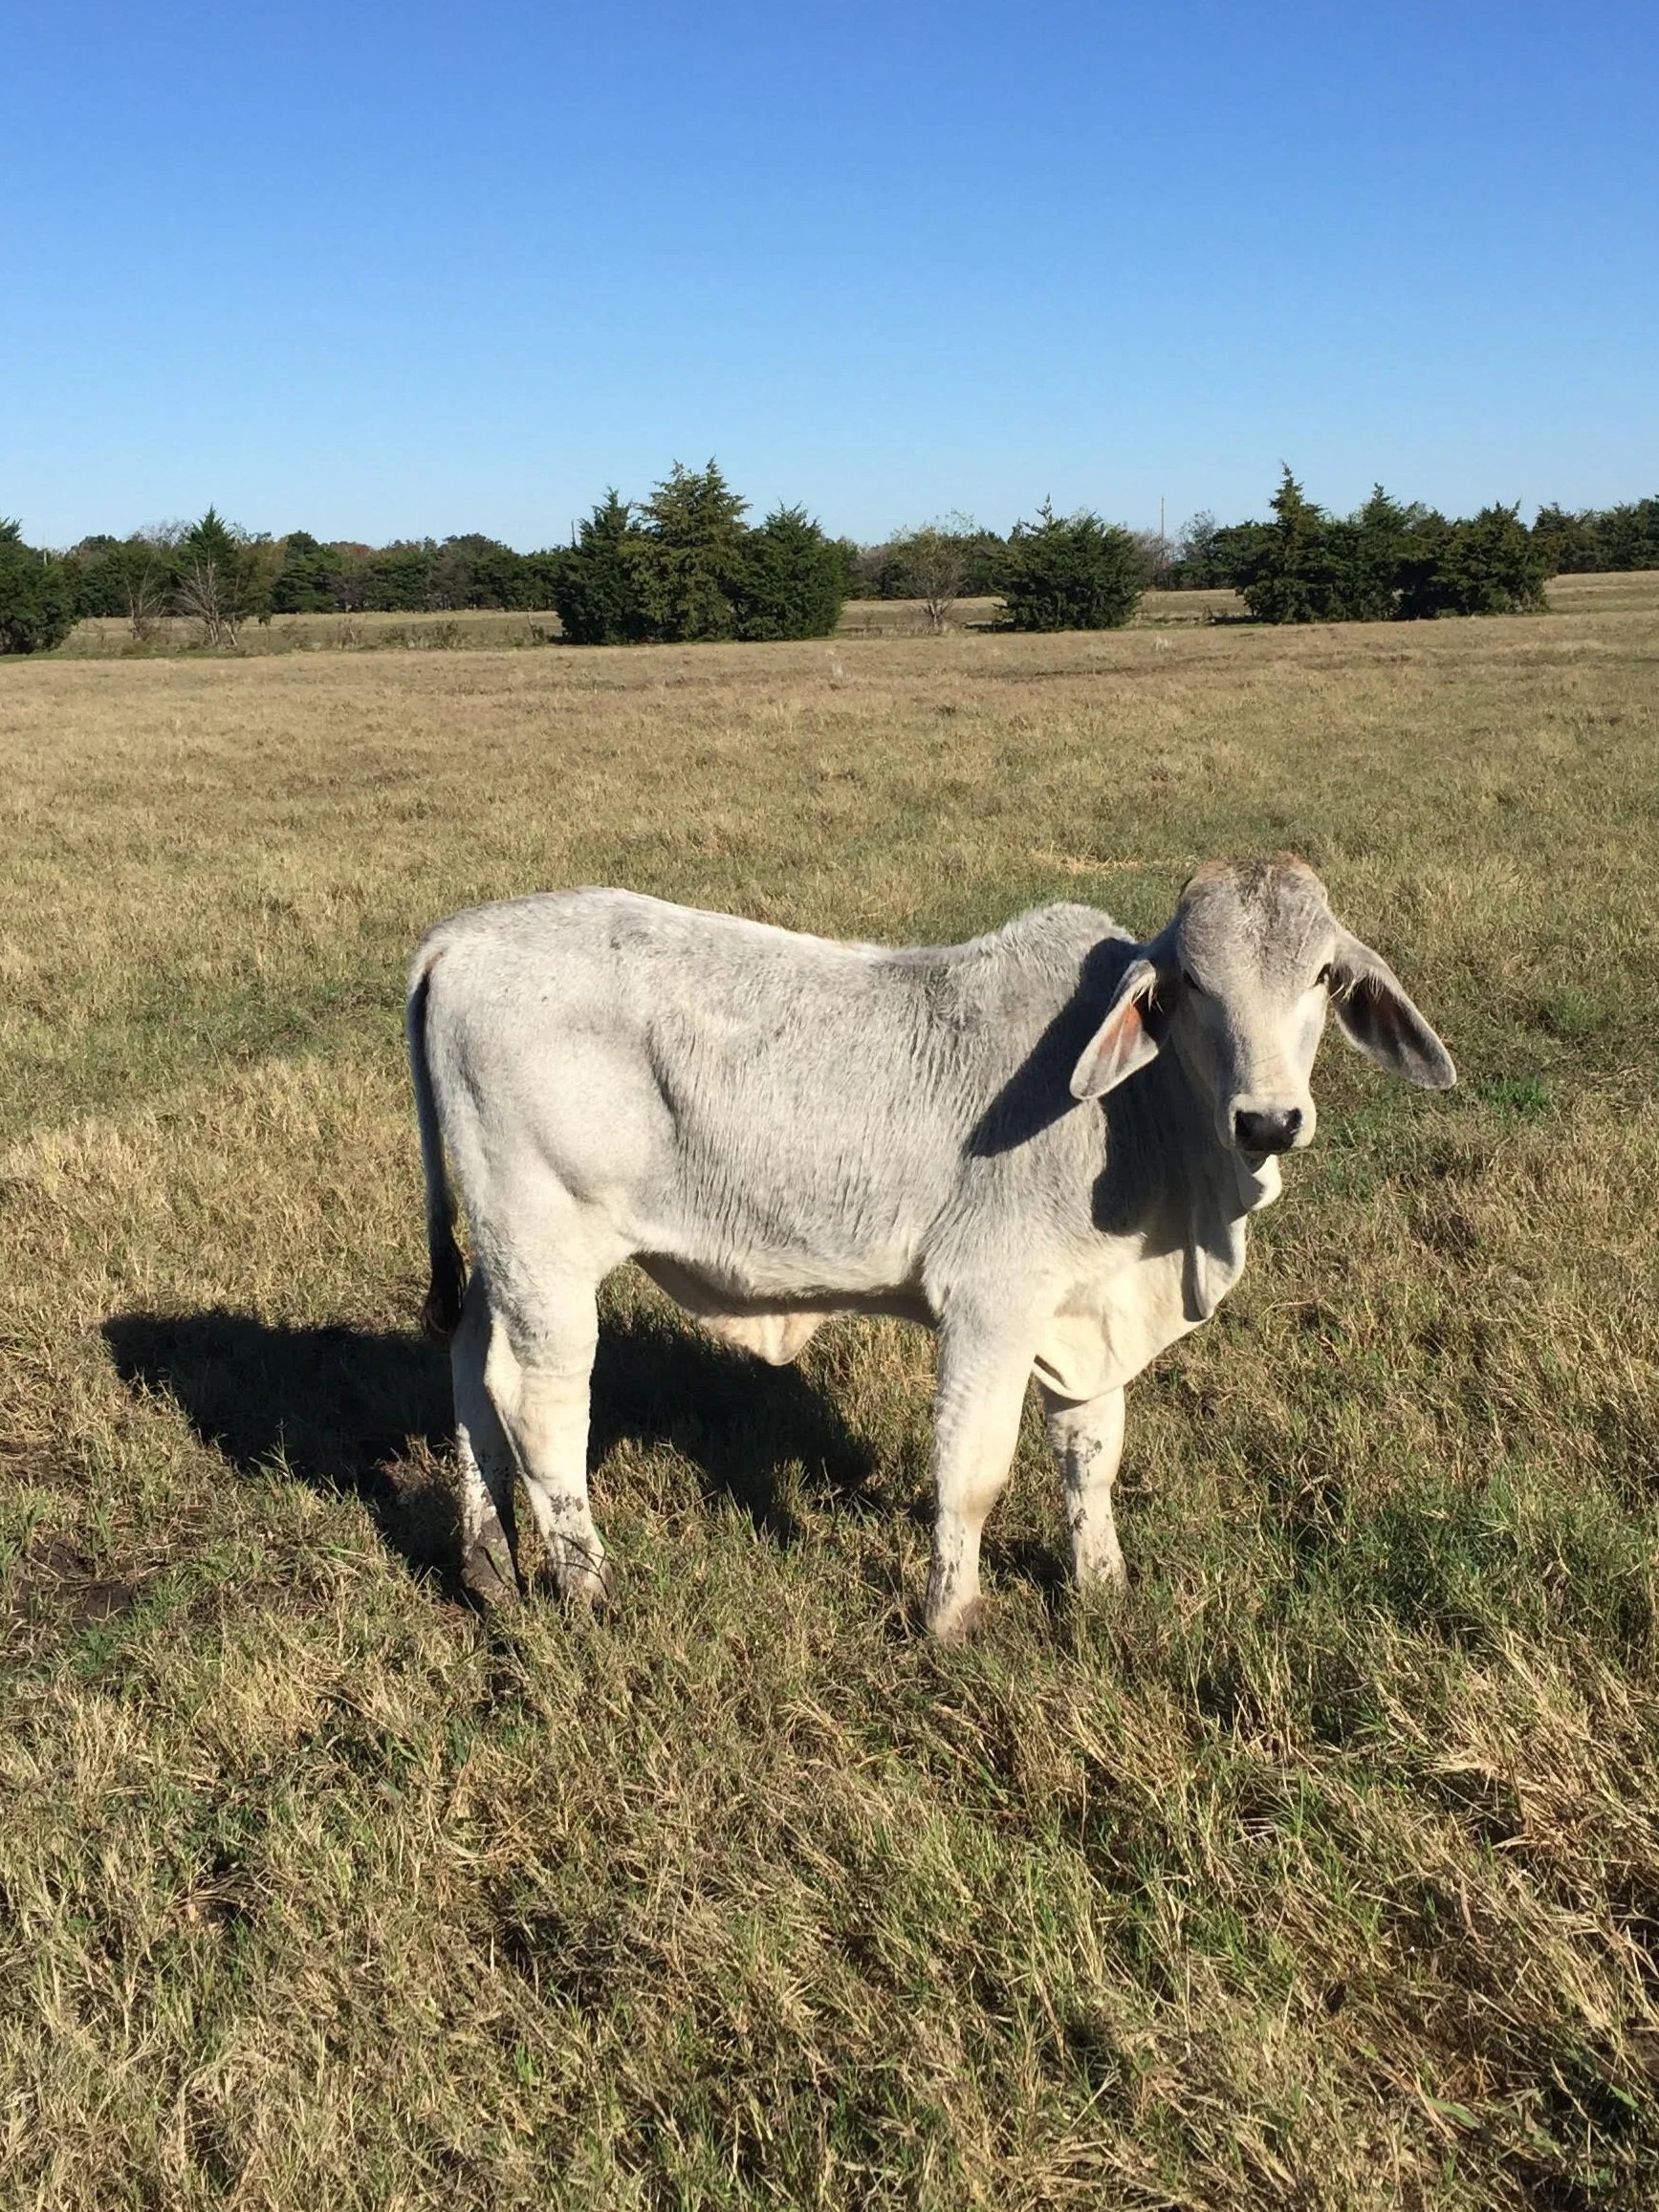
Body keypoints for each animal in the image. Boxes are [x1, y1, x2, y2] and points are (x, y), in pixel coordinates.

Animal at [407, 857, 1455, 1637]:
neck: (1143, 1118)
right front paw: (951, 1620)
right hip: (546, 1246)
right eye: (1194, 983)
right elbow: (972, 1471)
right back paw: (588, 1589)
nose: (1268, 1119)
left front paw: (1101, 1586)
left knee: (469, 1368)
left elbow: (1090, 1455)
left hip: (502, 1252)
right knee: (540, 1404)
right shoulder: (991, 1304)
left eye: (1321, 976)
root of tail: (458, 935)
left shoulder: (1088, 1310)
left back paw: (488, 1562)